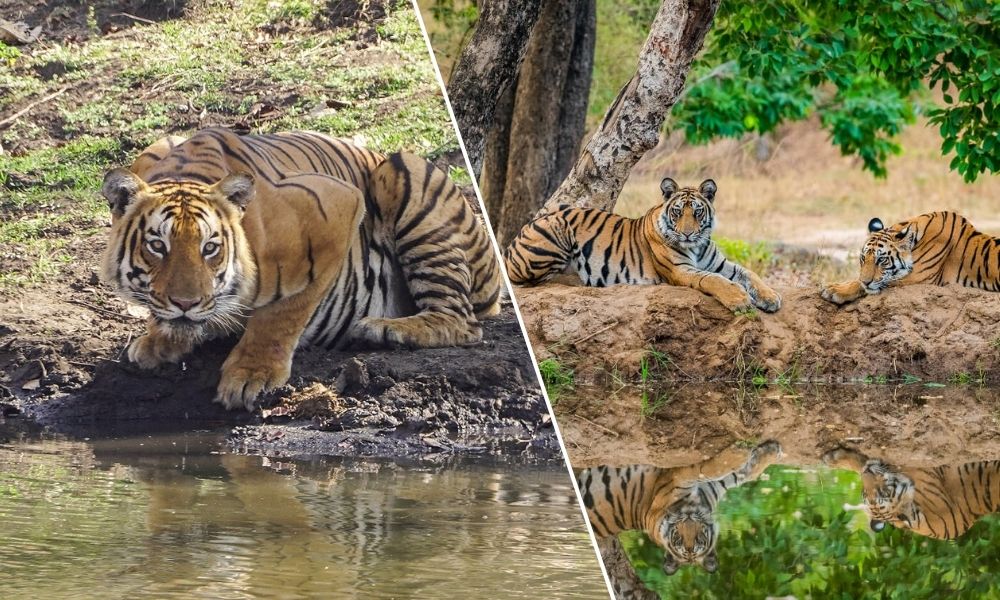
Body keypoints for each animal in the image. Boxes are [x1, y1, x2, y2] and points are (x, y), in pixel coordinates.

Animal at [100, 128, 502, 411]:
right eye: (157, 246)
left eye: (210, 248)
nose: (186, 303)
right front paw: (158, 339)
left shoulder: (337, 208)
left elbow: (283, 312)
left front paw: (252, 375)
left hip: (404, 174)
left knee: (462, 321)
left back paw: (384, 329)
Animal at [503, 178, 781, 313]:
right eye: (678, 212)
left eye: (697, 212)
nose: (688, 234)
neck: (698, 246)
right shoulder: (680, 270)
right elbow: (713, 280)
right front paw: (739, 299)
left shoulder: (720, 263)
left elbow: (748, 273)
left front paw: (770, 297)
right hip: (556, 230)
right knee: (538, 280)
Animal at [576, 439, 781, 585]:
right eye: (679, 540)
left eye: (699, 539)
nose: (688, 520)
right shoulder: (678, 479)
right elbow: (709, 469)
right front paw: (742, 454)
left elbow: (739, 474)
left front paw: (769, 453)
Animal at [821, 211, 1000, 305]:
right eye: (863, 259)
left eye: (881, 260)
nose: (867, 281)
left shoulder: (918, 277)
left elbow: (863, 283)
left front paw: (833, 289)